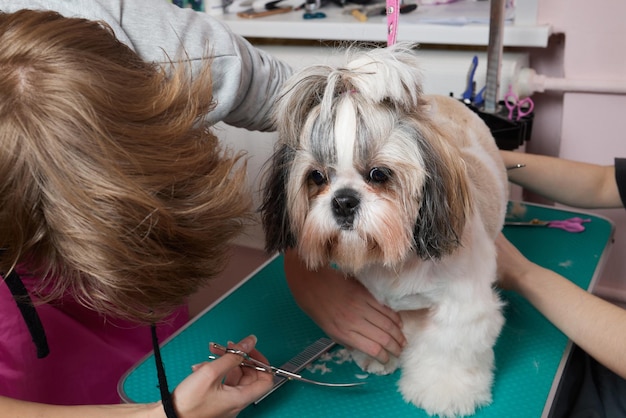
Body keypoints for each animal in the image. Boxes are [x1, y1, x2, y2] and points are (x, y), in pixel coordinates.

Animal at [260, 43, 508, 418]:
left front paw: (444, 392)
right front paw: (380, 358)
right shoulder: (376, 298)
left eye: (379, 174)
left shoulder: (462, 304)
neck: (399, 260)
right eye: (317, 176)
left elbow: (449, 348)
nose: (343, 201)